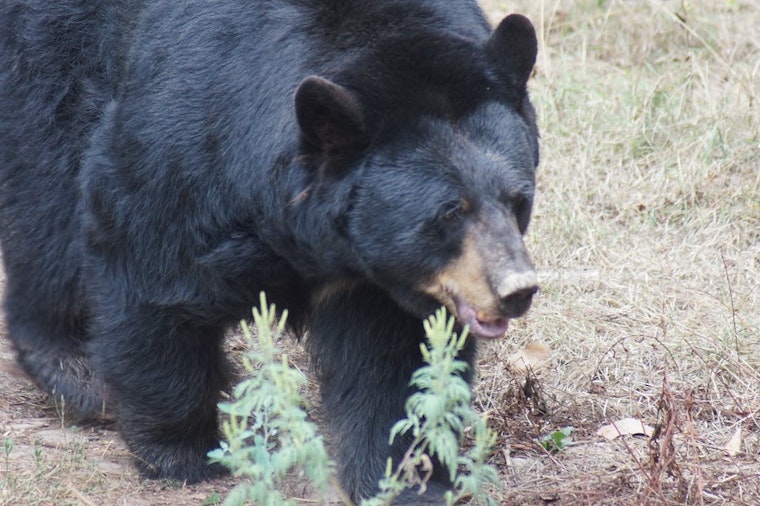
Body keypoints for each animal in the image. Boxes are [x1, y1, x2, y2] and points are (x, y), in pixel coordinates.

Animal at [0, 0, 539, 502]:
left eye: (518, 199)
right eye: (450, 212)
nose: (517, 290)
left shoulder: (379, 278)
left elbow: (394, 359)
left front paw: (407, 479)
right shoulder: (189, 135)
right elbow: (149, 266)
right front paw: (182, 451)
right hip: (52, 48)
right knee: (46, 180)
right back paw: (74, 368)